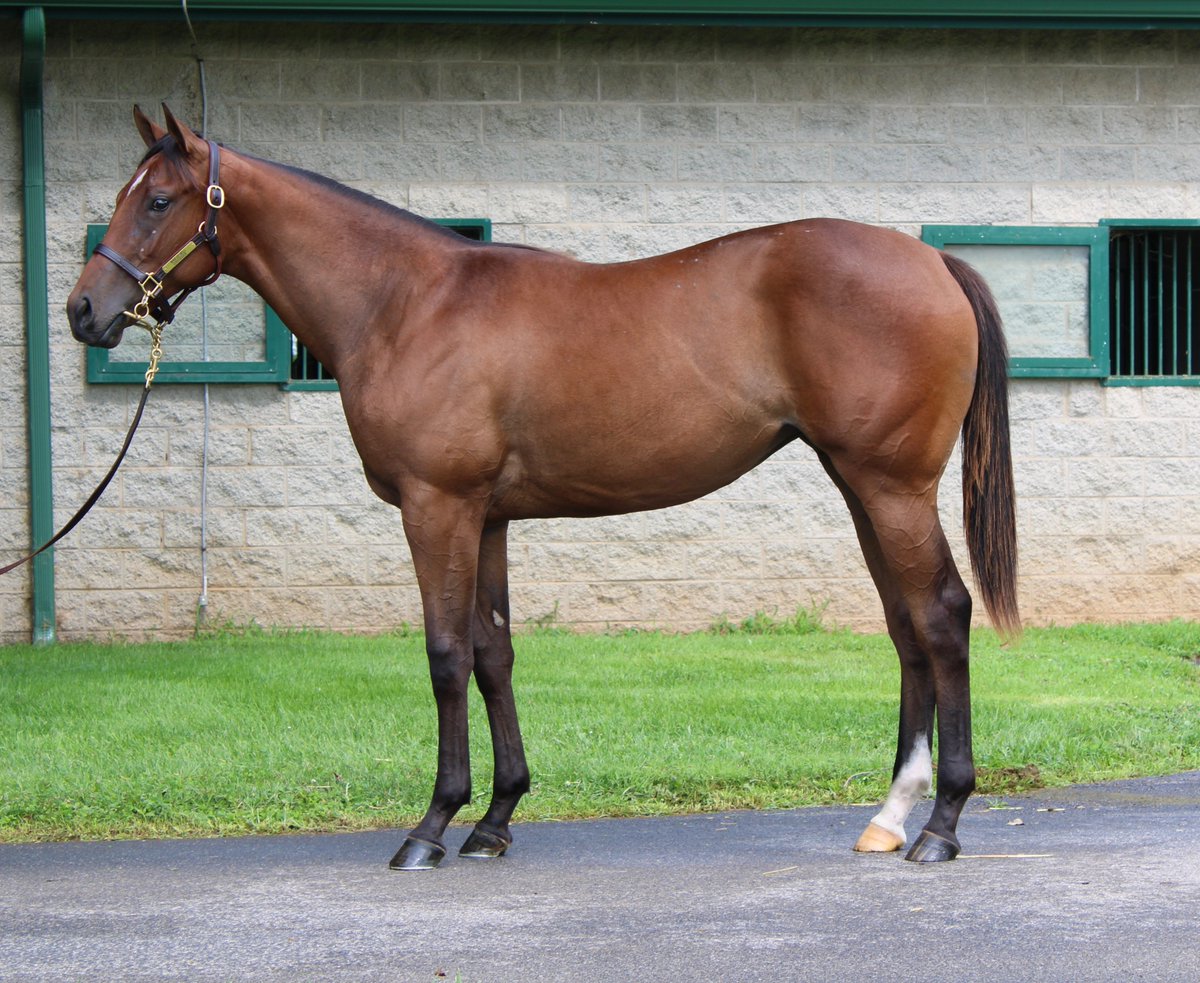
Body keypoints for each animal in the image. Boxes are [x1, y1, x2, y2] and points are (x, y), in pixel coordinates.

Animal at [67, 106, 1019, 869]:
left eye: (158, 201)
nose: (85, 311)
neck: (405, 302)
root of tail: (933, 262)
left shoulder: (438, 506)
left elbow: (446, 654)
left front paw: (431, 825)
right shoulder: (487, 517)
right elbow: (495, 654)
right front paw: (495, 818)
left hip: (890, 485)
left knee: (941, 614)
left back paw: (941, 824)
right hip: (859, 485)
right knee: (905, 626)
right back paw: (890, 816)